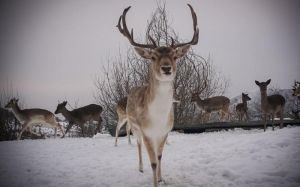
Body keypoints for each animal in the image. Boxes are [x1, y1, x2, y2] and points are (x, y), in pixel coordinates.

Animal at [116, 4, 198, 187]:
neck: (158, 119)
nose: (166, 68)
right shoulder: (147, 132)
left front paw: (161, 179)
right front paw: (154, 180)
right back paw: (140, 167)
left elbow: (160, 157)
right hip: (134, 126)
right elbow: (153, 162)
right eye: (153, 57)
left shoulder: (164, 132)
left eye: (175, 56)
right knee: (138, 144)